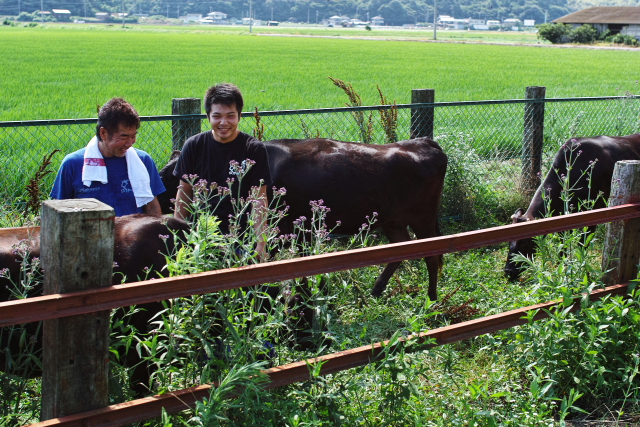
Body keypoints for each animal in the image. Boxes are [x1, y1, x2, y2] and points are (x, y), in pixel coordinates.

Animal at [162, 137, 448, 300]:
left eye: (169, 176)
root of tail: (424, 142)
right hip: (393, 222)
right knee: (400, 251)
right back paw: (377, 290)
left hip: (423, 219)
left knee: (432, 256)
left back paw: (431, 298)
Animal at [502, 134, 640, 280]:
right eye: (508, 241)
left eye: (525, 242)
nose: (508, 272)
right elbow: (562, 246)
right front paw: (561, 269)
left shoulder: (595, 211)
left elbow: (582, 245)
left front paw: (583, 271)